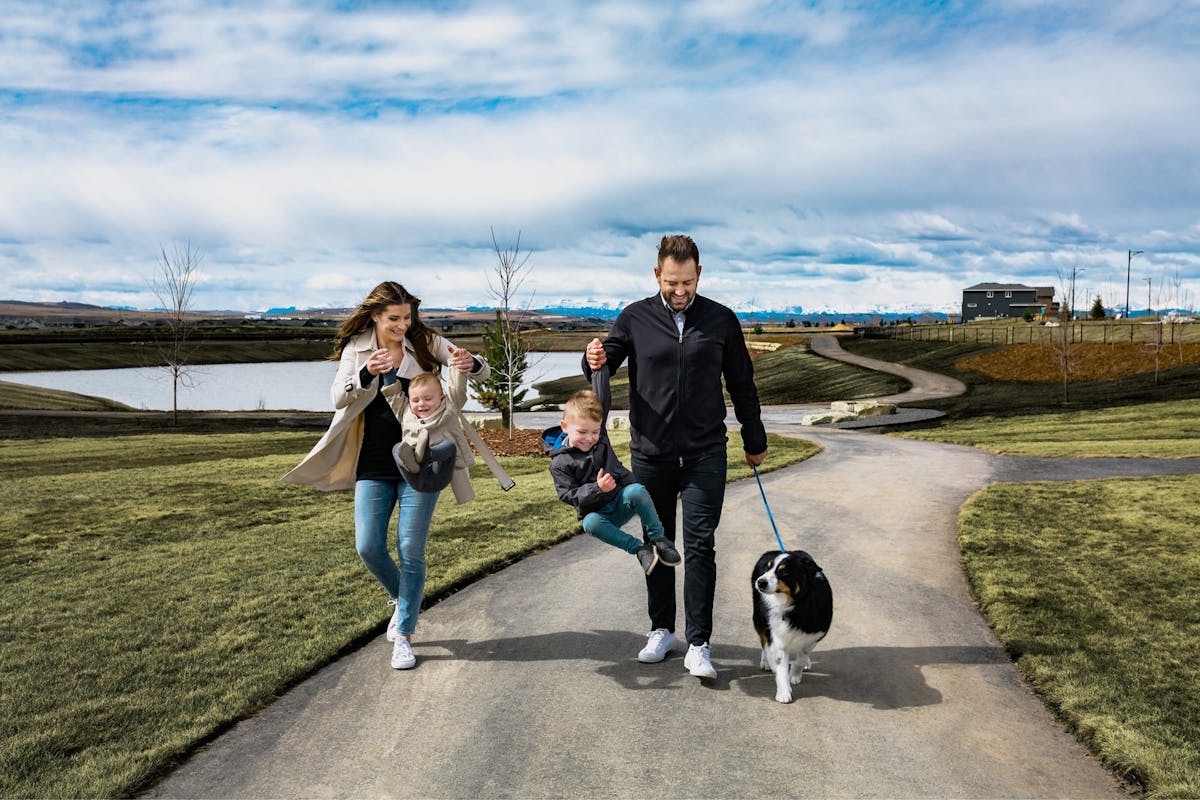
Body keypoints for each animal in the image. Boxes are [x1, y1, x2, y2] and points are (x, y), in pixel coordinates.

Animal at [748, 546, 835, 705]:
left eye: (783, 572)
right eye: (768, 568)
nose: (759, 582)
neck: (797, 605)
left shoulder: (815, 634)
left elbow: (802, 656)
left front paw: (795, 674)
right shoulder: (778, 634)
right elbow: (781, 664)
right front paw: (784, 692)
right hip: (759, 616)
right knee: (764, 640)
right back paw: (766, 662)